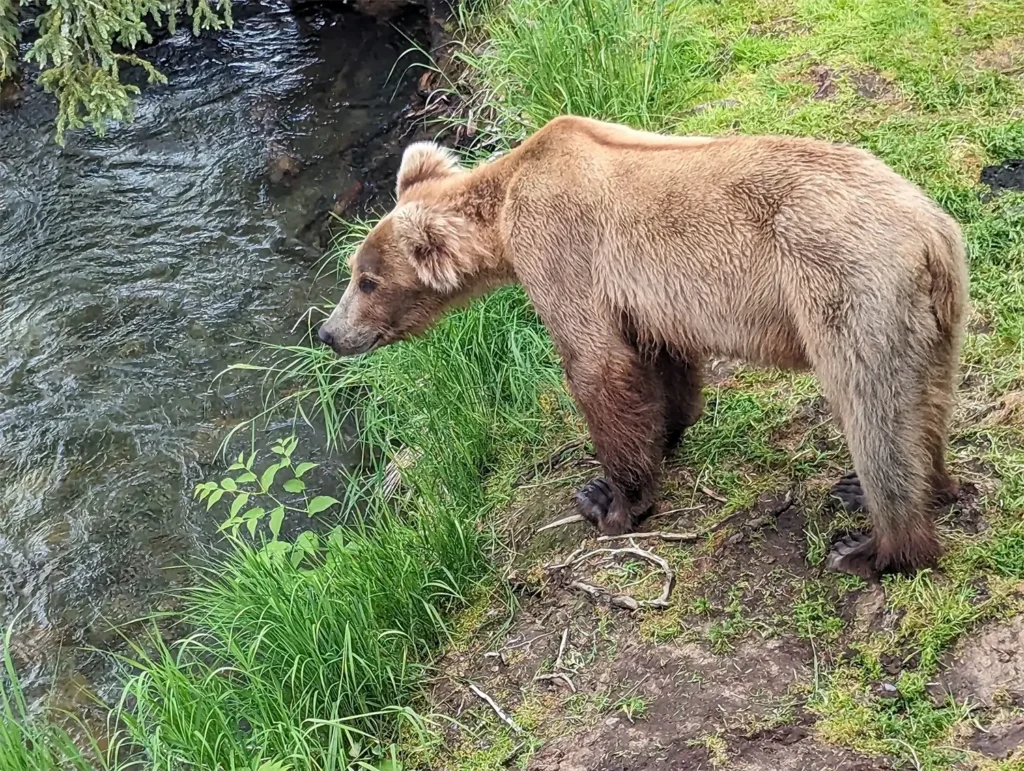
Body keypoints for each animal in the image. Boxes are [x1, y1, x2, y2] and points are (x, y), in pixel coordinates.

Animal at [316, 115, 969, 581]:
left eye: (366, 280)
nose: (327, 332)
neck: (501, 216)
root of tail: (929, 230)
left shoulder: (563, 252)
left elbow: (598, 367)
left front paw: (608, 499)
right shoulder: (646, 297)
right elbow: (661, 364)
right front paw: (663, 439)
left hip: (842, 290)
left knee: (873, 412)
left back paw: (874, 548)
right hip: (934, 315)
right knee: (927, 403)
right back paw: (913, 486)